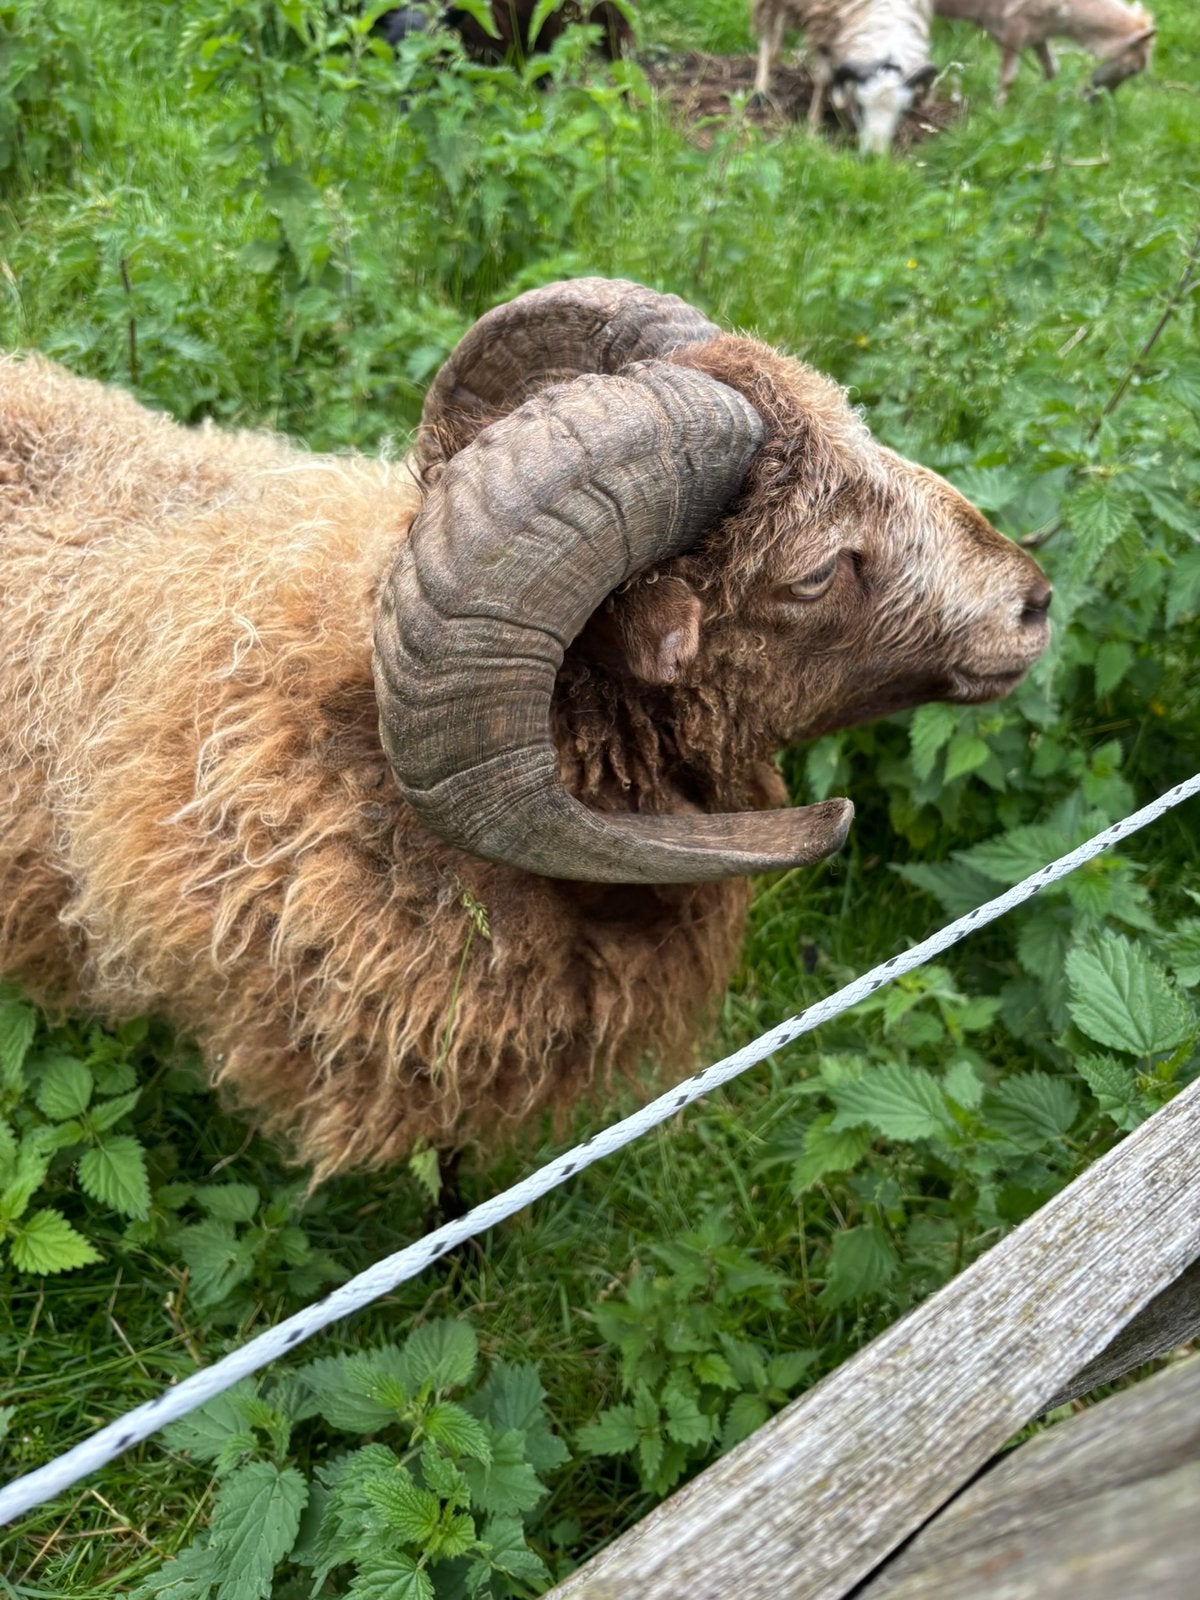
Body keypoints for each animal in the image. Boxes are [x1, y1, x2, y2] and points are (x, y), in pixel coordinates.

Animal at [752, 0, 938, 154]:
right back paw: (760, 90)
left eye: (901, 111)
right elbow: (823, 79)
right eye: (861, 107)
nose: (874, 156)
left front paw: (847, 124)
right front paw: (812, 131)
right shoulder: (823, 27)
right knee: (766, 30)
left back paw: (775, 58)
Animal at [934, 0, 1155, 104]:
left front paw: (1058, 104)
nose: (1095, 101)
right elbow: (1007, 79)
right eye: (1132, 70)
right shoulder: (1014, 28)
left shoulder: (1037, 34)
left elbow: (1052, 70)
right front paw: (999, 111)